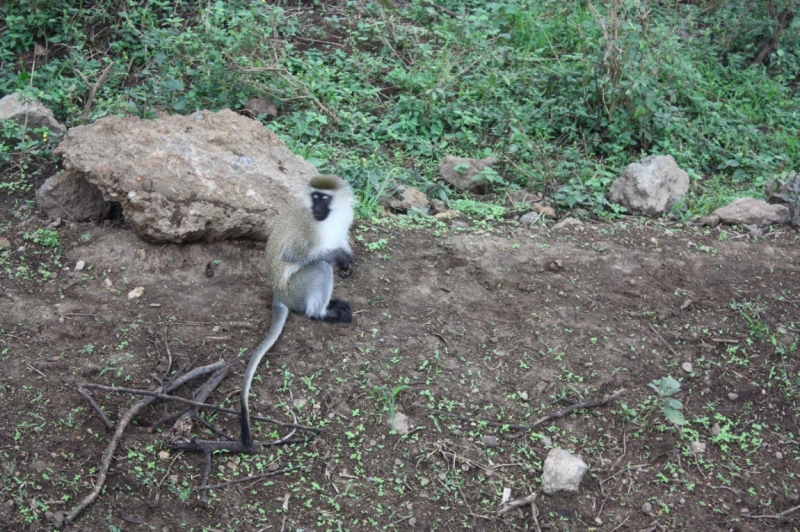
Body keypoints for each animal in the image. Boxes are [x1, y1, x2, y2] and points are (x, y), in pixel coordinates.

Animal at [241, 176, 354, 448]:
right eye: (315, 196)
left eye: (324, 197)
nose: (318, 209)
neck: (330, 217)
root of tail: (279, 296)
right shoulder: (308, 230)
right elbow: (293, 254)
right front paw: (339, 256)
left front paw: (347, 258)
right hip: (297, 290)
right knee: (320, 267)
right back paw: (322, 313)